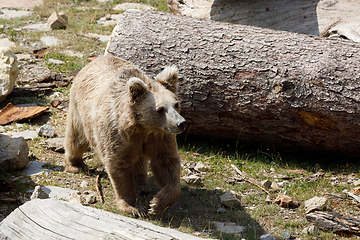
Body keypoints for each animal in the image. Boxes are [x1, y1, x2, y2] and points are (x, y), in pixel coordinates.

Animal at [65, 55, 187, 216]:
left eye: (176, 104)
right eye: (160, 109)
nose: (181, 123)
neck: (143, 126)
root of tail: (95, 60)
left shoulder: (160, 136)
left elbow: (166, 163)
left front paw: (156, 204)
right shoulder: (117, 134)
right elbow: (120, 166)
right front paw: (133, 207)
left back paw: (142, 186)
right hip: (80, 109)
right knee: (77, 138)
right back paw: (76, 165)